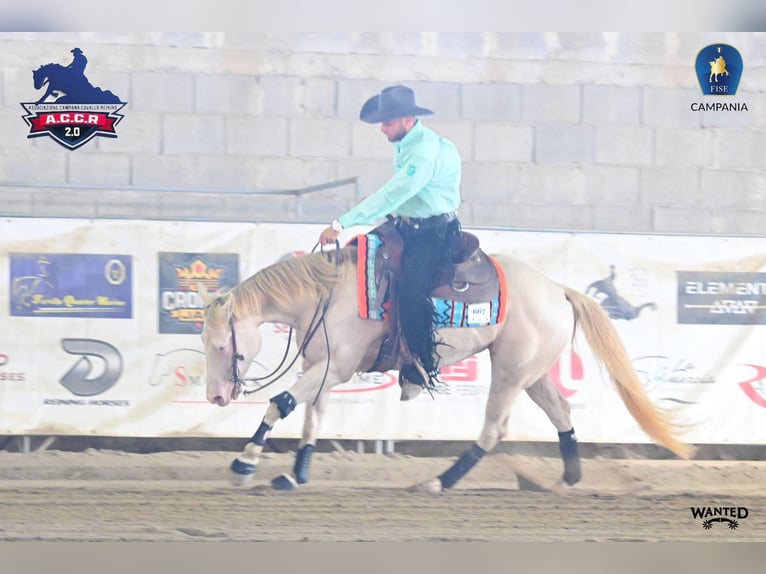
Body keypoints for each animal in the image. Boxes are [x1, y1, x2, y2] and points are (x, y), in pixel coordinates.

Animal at [200, 244, 694, 493]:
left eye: (223, 344)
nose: (216, 397)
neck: (329, 294)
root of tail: (559, 289)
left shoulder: (335, 368)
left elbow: (280, 402)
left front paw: (244, 463)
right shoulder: (323, 369)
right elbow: (311, 418)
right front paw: (295, 474)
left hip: (511, 371)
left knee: (494, 430)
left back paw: (439, 482)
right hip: (533, 373)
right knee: (561, 414)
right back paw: (565, 479)